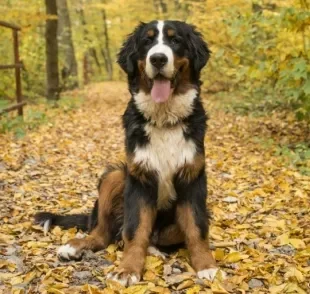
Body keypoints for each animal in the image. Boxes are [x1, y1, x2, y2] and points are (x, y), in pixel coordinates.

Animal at [35, 20, 217, 288]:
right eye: (147, 42)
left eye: (175, 41)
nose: (158, 59)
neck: (164, 121)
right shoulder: (139, 178)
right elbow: (135, 230)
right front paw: (128, 269)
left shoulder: (192, 177)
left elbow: (196, 228)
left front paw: (206, 265)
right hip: (115, 176)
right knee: (103, 233)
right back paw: (76, 246)